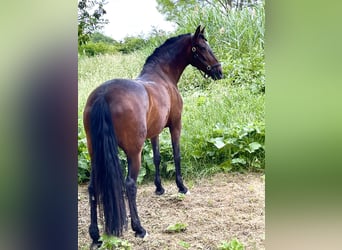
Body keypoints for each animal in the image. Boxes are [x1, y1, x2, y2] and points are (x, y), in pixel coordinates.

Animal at [82, 25, 222, 246]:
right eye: (201, 47)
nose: (219, 71)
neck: (162, 76)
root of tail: (104, 95)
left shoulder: (155, 132)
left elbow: (157, 158)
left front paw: (159, 188)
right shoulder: (175, 125)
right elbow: (176, 155)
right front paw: (181, 187)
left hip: (94, 153)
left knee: (92, 188)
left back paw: (95, 236)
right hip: (134, 152)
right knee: (130, 185)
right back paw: (139, 229)